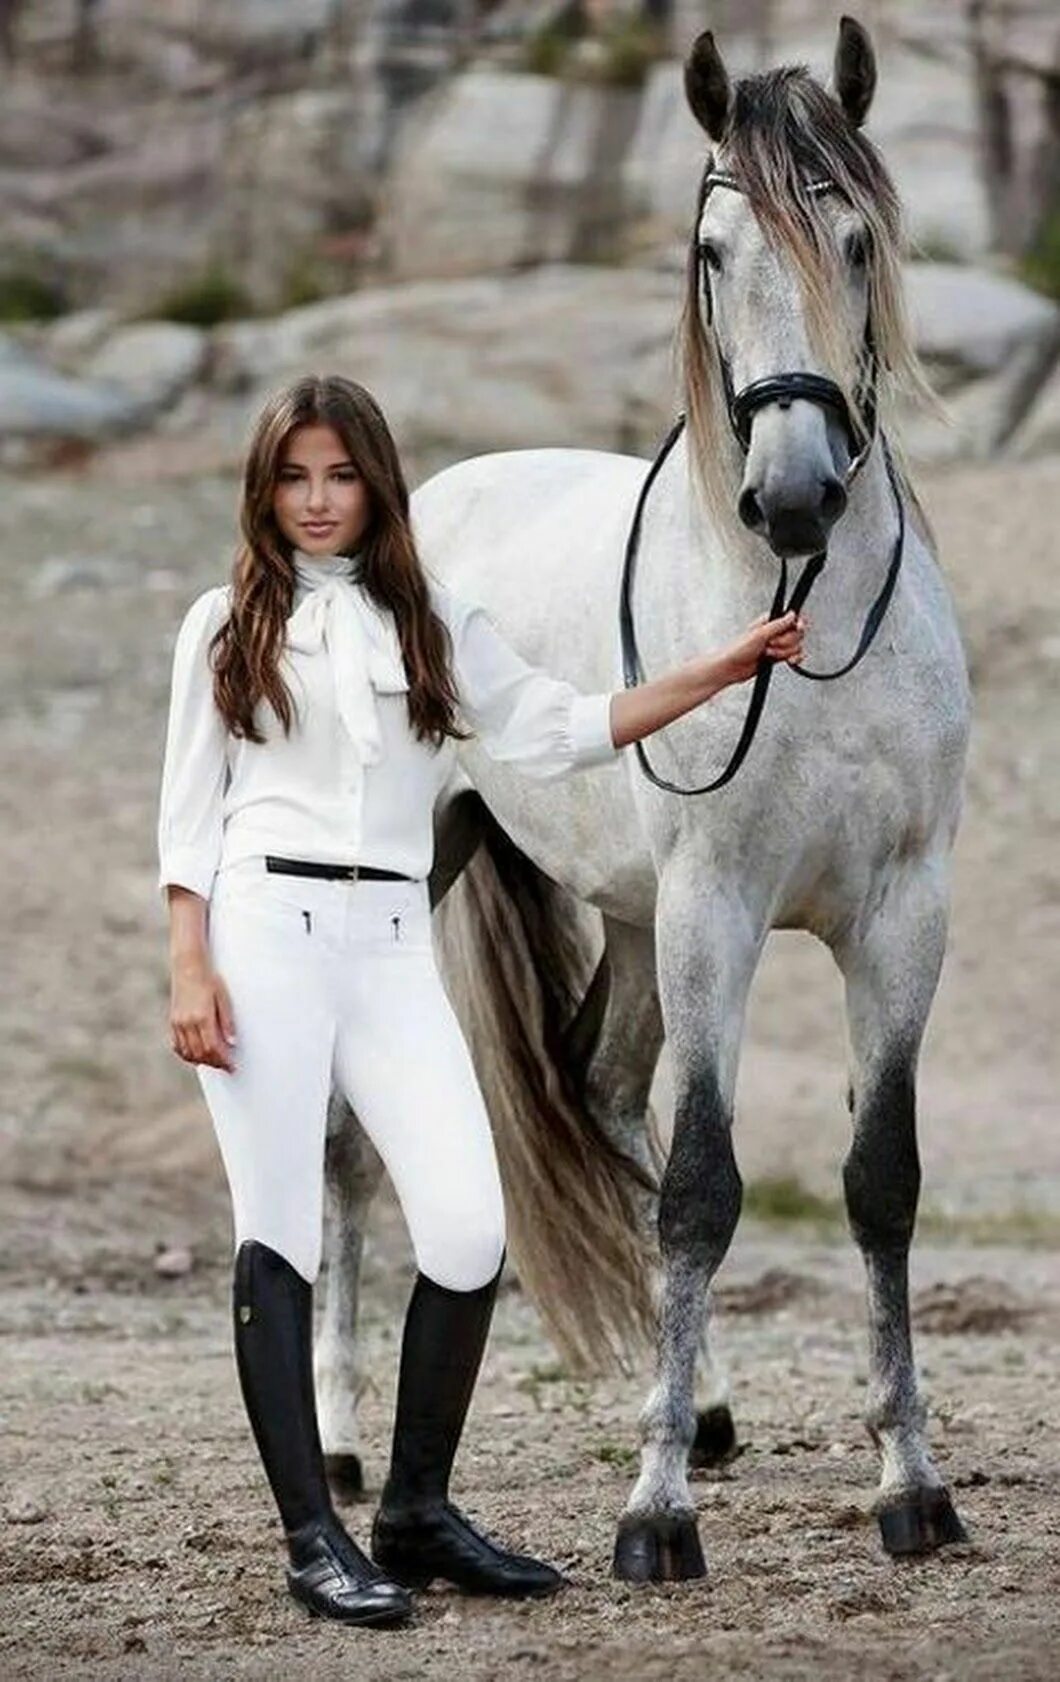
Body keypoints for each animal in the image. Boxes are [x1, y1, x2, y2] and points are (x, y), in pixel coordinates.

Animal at [312, 16, 969, 1574]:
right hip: (446, 889)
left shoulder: (901, 914)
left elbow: (877, 1177)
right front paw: (655, 1512)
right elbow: (704, 1188)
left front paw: (910, 1484)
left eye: (856, 239)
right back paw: (345, 1433)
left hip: (627, 918)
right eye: (711, 251)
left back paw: (714, 1411)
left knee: (599, 1086)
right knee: (352, 1149)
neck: (802, 630)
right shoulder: (716, 908)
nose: (793, 496)